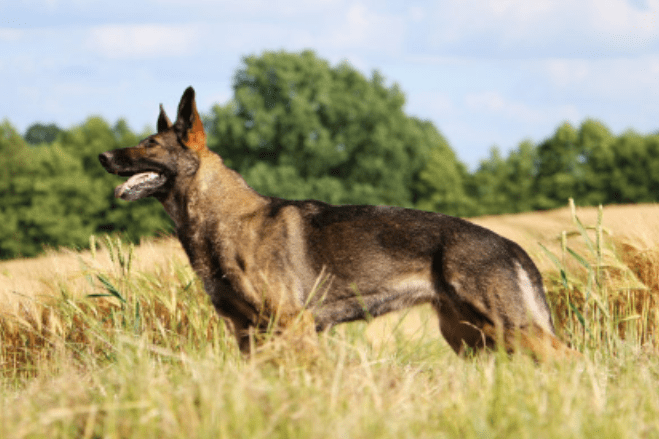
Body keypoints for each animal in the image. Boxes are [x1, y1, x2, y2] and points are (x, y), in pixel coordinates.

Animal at [98, 87, 576, 360]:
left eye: (150, 145)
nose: (101, 156)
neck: (220, 220)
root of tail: (511, 245)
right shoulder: (248, 334)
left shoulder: (291, 325)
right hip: (473, 339)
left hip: (512, 330)